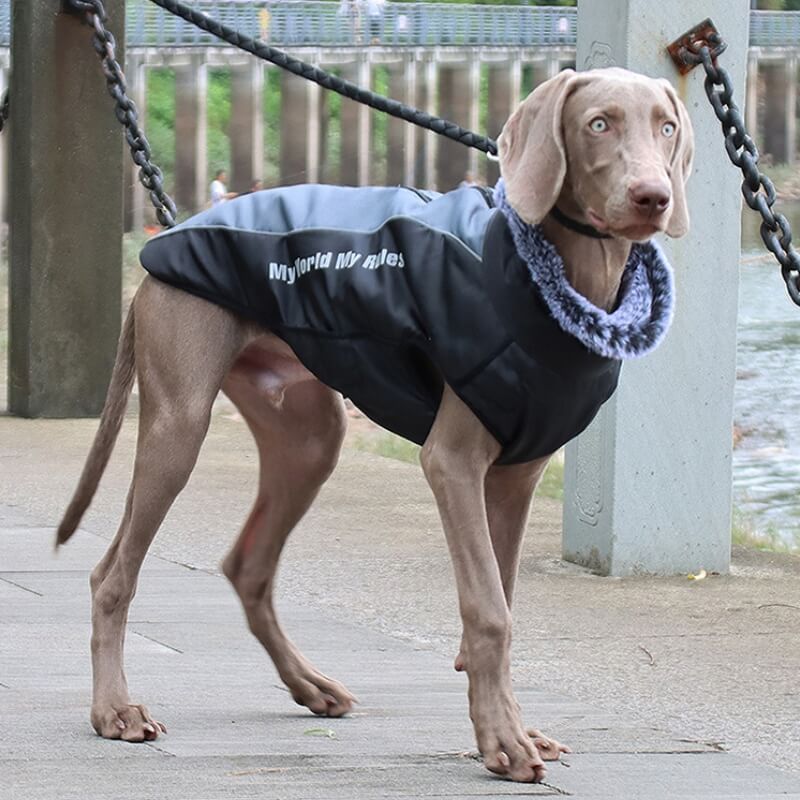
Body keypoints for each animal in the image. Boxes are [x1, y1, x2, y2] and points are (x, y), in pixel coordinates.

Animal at [56, 69, 692, 780]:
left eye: (666, 126)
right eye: (598, 123)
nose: (653, 197)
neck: (555, 277)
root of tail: (162, 241)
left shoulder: (517, 475)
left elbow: (500, 603)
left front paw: (510, 728)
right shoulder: (453, 462)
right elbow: (488, 611)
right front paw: (503, 742)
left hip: (310, 438)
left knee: (248, 565)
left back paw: (309, 686)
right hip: (179, 424)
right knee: (113, 574)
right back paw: (115, 711)